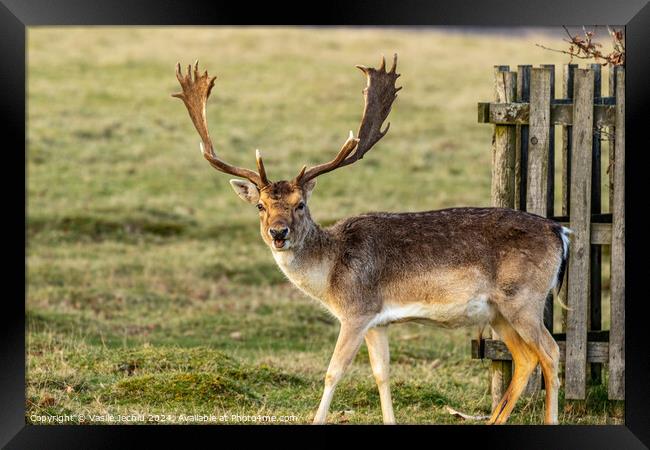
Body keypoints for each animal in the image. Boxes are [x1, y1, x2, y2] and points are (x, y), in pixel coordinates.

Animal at [171, 55, 568, 426]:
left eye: (300, 204)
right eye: (260, 205)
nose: (278, 233)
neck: (330, 275)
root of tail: (561, 232)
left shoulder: (356, 310)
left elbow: (333, 372)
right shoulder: (379, 321)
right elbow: (382, 374)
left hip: (524, 298)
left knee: (550, 352)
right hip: (498, 311)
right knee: (525, 358)